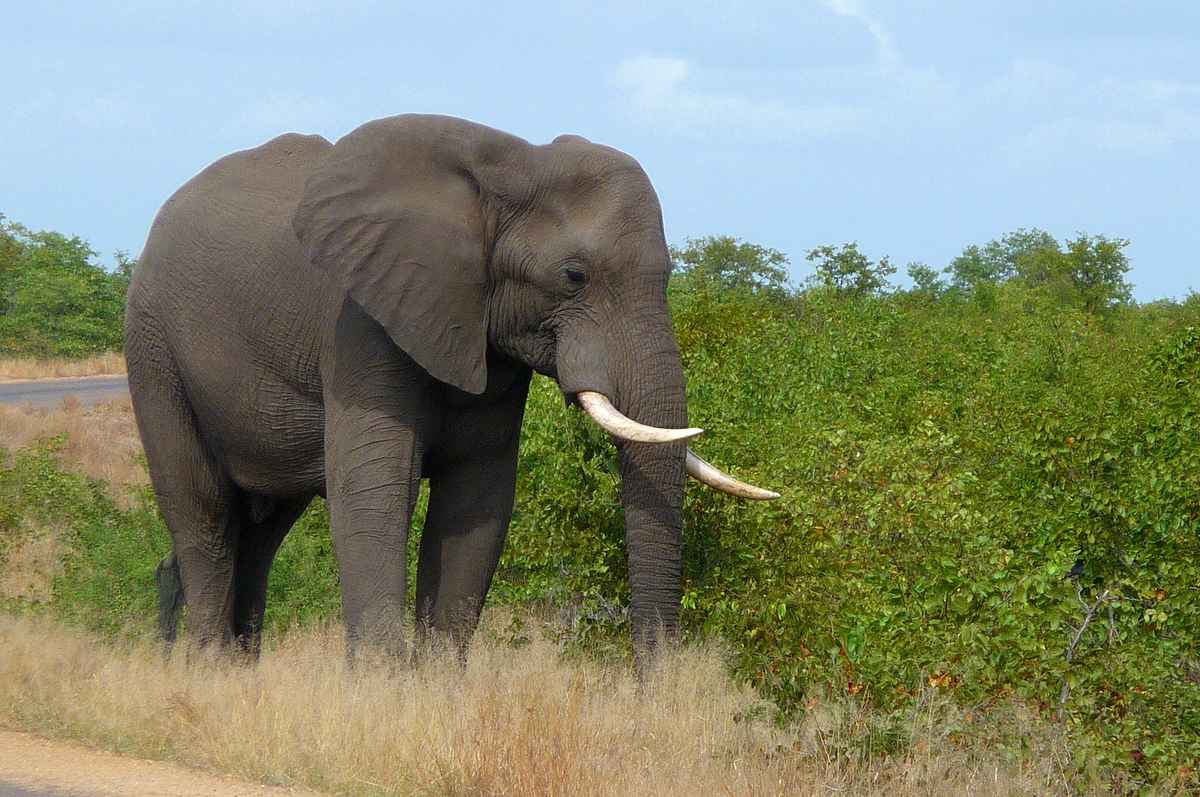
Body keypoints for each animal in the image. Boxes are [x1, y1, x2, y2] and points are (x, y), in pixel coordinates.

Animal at [125, 114, 777, 664]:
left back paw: (241, 676)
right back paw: (208, 671)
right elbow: (375, 484)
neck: (510, 169)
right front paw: (381, 693)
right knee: (205, 514)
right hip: (153, 350)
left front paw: (436, 692)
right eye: (574, 276)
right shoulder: (361, 316)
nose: (652, 688)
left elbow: (477, 495)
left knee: (262, 530)